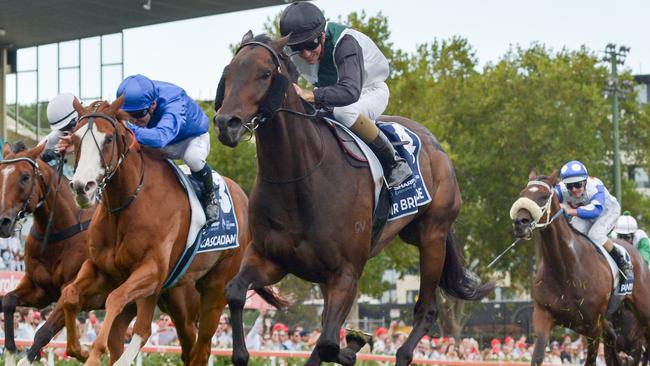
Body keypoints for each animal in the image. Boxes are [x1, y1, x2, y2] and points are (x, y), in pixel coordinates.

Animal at [0, 142, 200, 366]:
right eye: (0, 174)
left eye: (25, 176)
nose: (3, 222)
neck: (57, 233)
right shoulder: (40, 289)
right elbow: (8, 300)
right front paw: (10, 351)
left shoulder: (78, 292)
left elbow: (44, 331)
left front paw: (81, 353)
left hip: (182, 310)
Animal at [64, 98, 284, 366]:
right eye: (75, 138)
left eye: (107, 139)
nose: (81, 188)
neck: (127, 203)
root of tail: (243, 196)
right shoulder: (102, 269)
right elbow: (69, 294)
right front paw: (78, 350)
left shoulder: (152, 270)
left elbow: (114, 299)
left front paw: (94, 353)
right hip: (175, 299)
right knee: (165, 337)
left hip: (215, 289)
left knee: (198, 348)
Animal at [213, 32, 492, 366]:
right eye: (228, 73)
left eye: (265, 74)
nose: (226, 123)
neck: (299, 180)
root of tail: (435, 145)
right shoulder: (271, 259)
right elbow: (235, 291)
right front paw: (242, 353)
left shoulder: (346, 272)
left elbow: (329, 342)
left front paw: (356, 341)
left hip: (432, 236)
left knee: (426, 310)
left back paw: (400, 352)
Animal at [508, 172, 648, 366]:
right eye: (523, 193)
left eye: (544, 196)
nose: (520, 223)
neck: (564, 268)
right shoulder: (544, 315)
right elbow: (537, 356)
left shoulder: (593, 326)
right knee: (612, 336)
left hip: (642, 309)